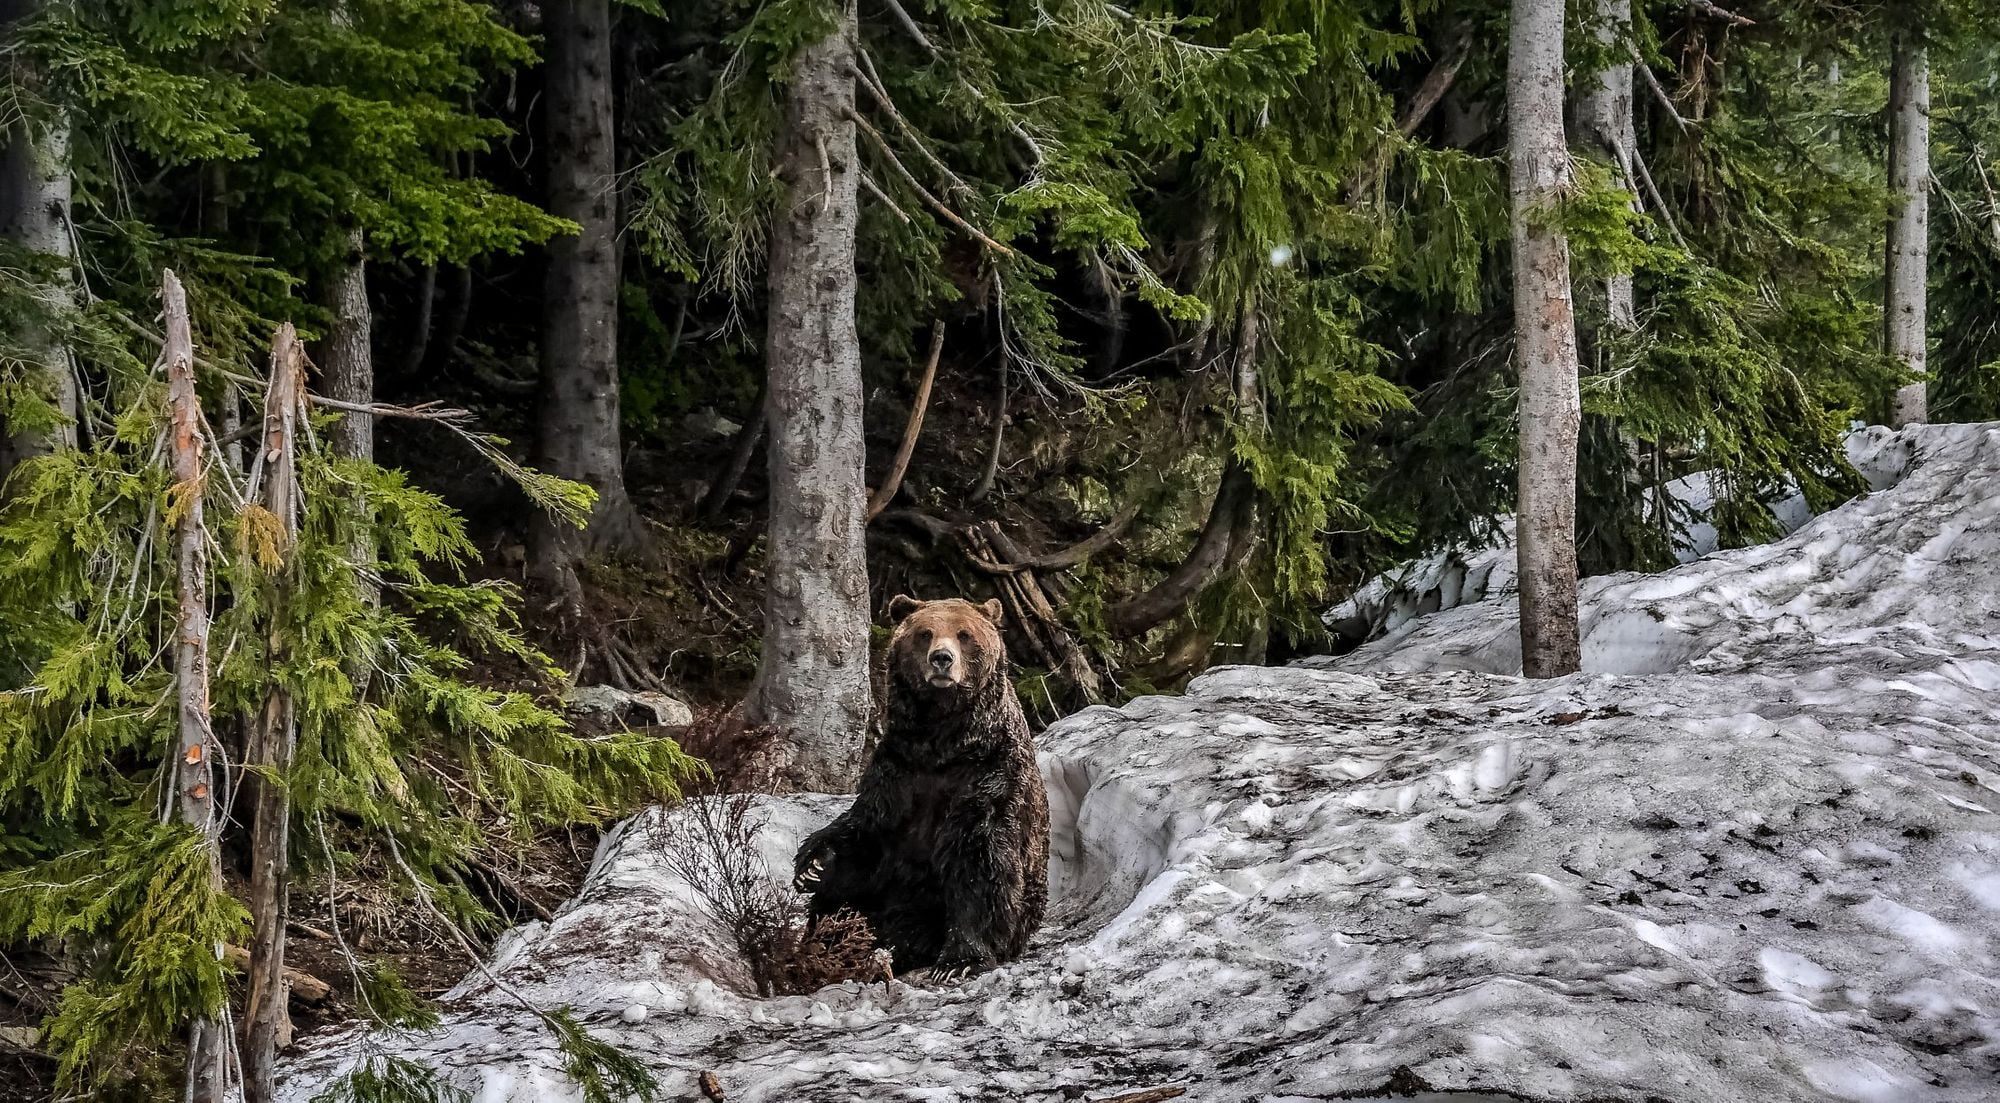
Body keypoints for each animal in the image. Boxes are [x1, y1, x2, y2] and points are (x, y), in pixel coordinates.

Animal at [792, 599, 1056, 979]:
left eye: (964, 634)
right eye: (925, 633)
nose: (942, 658)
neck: (942, 744)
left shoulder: (990, 775)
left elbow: (981, 863)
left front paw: (959, 961)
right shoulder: (897, 774)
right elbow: (862, 832)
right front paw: (814, 863)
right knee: (842, 899)